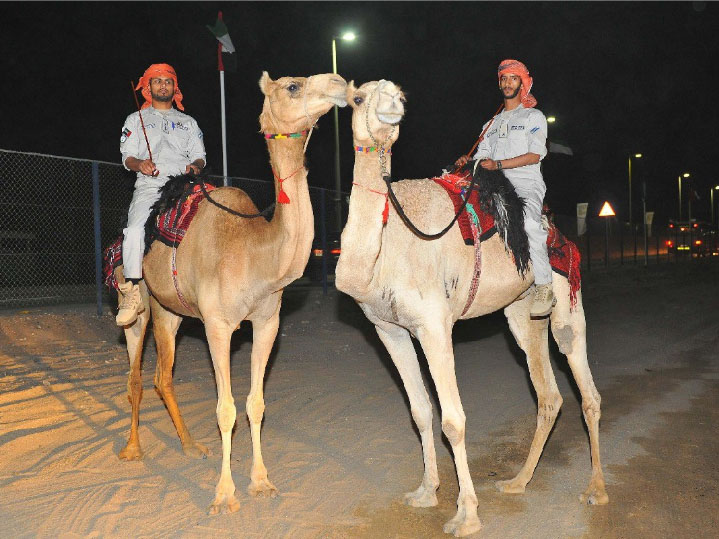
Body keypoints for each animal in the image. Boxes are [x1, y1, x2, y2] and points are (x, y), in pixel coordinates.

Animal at [113, 71, 348, 516]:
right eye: (293, 86)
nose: (340, 83)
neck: (253, 250)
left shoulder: (267, 321)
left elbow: (255, 404)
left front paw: (261, 482)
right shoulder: (218, 326)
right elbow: (225, 409)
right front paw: (225, 494)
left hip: (171, 310)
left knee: (163, 375)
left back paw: (190, 446)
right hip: (139, 302)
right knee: (135, 374)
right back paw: (132, 449)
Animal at [338, 81, 608, 539]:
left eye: (399, 95)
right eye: (357, 99)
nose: (393, 103)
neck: (390, 242)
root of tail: (560, 234)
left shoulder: (434, 325)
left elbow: (453, 420)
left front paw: (466, 514)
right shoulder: (388, 328)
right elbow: (420, 411)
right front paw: (425, 492)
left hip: (567, 298)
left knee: (586, 388)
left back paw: (597, 490)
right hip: (520, 314)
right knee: (549, 394)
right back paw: (517, 482)